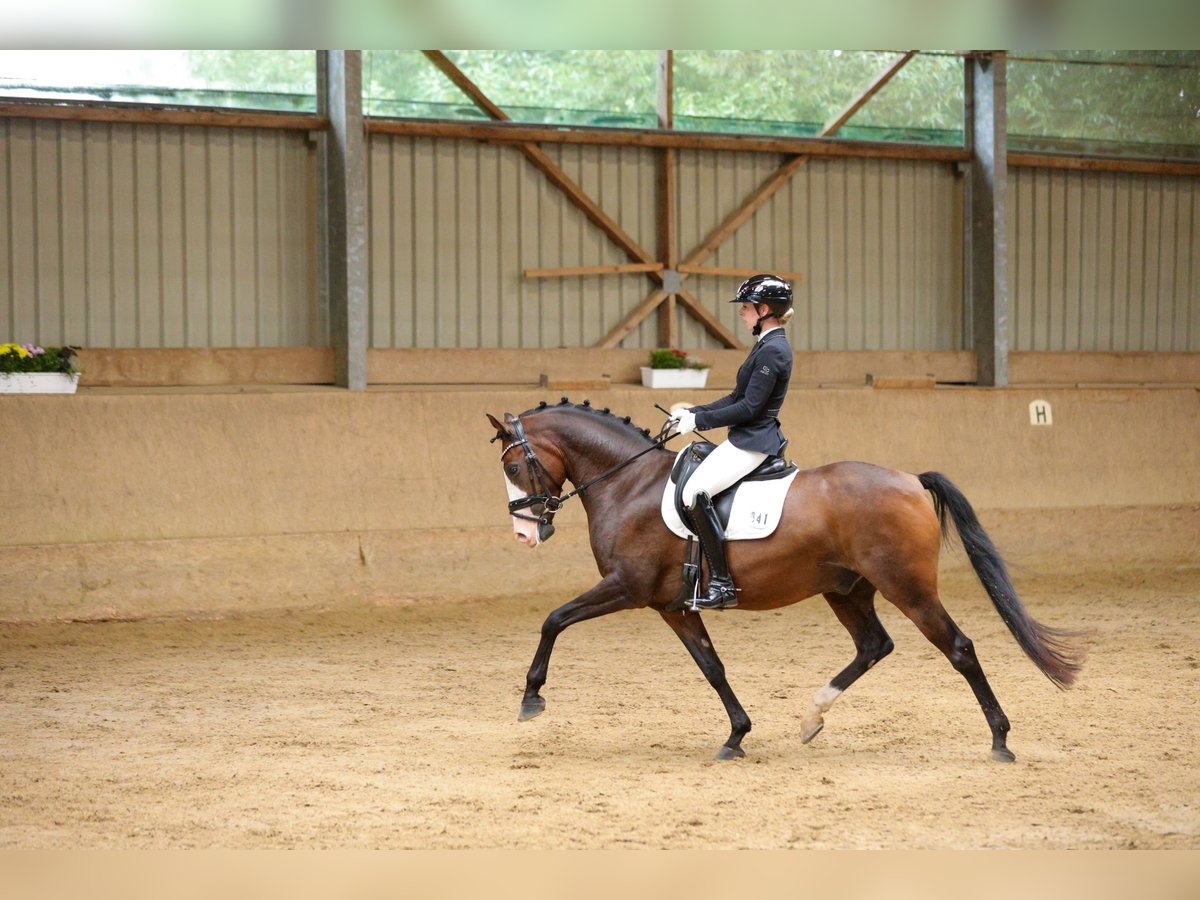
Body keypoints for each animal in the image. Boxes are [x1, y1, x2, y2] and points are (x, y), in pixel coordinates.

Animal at [482, 400, 1084, 763]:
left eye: (513, 468)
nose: (525, 533)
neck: (628, 483)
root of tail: (911, 479)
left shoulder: (627, 588)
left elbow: (554, 619)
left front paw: (531, 697)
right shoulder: (673, 606)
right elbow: (713, 668)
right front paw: (736, 736)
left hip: (908, 588)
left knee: (958, 648)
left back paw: (1000, 740)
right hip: (846, 590)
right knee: (874, 645)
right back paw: (811, 718)